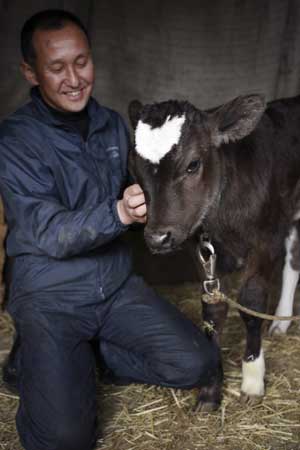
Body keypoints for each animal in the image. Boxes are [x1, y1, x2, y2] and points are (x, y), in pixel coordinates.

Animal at [127, 94, 300, 408]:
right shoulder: (202, 251)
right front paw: (210, 390)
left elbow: (252, 303)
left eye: (193, 164)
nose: (157, 237)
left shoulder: (266, 240)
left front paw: (252, 378)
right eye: (135, 168)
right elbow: (212, 310)